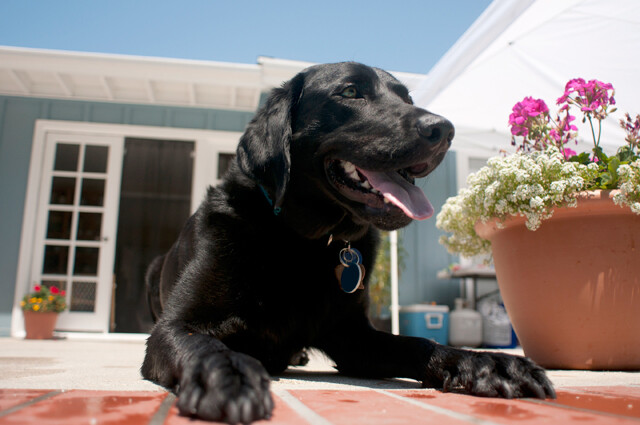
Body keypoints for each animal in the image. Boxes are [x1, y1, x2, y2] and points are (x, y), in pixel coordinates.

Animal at [141, 61, 556, 422]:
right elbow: (205, 345)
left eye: (406, 98)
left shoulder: (353, 337)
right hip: (152, 270)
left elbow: (418, 343)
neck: (303, 242)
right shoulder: (177, 326)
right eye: (351, 91)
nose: (444, 129)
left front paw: (486, 362)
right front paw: (230, 373)